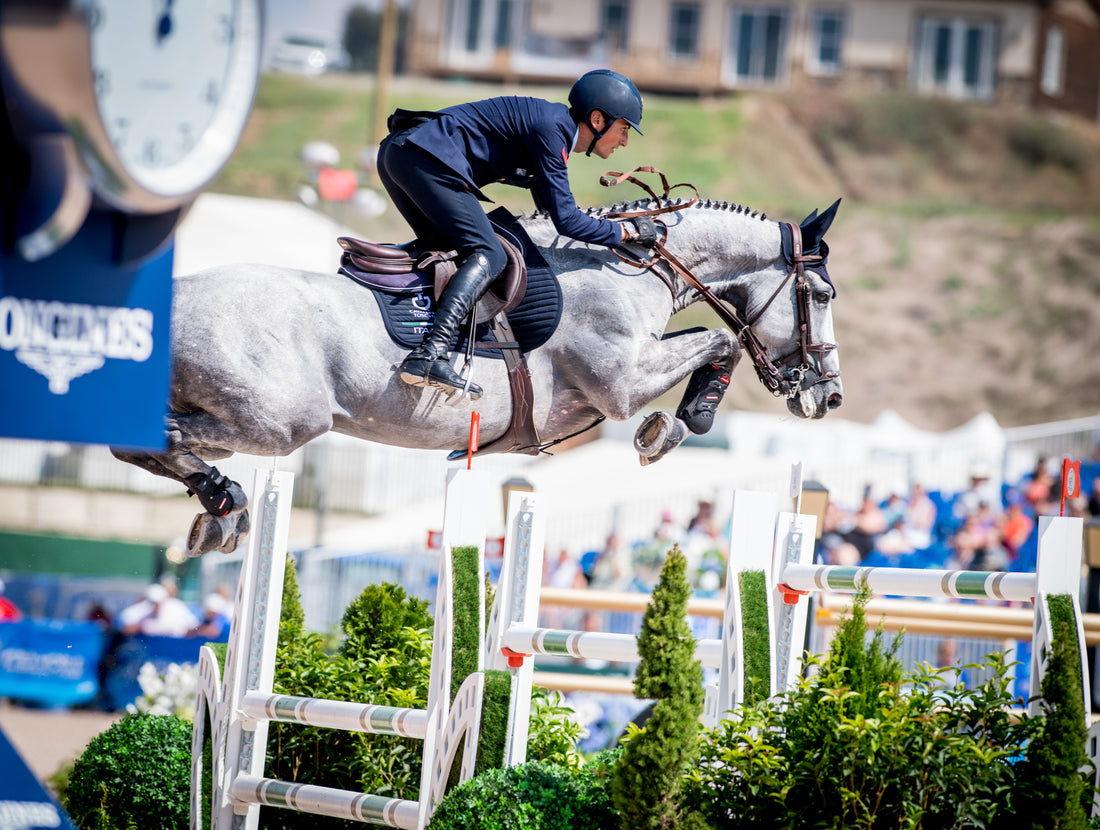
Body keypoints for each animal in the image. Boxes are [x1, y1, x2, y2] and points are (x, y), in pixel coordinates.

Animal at [113, 197, 840, 554]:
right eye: (824, 294)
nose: (828, 396)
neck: (628, 267)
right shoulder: (621, 381)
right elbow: (721, 340)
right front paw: (674, 427)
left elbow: (716, 341)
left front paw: (680, 423)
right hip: (280, 421)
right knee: (160, 440)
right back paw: (224, 500)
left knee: (142, 444)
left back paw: (218, 510)